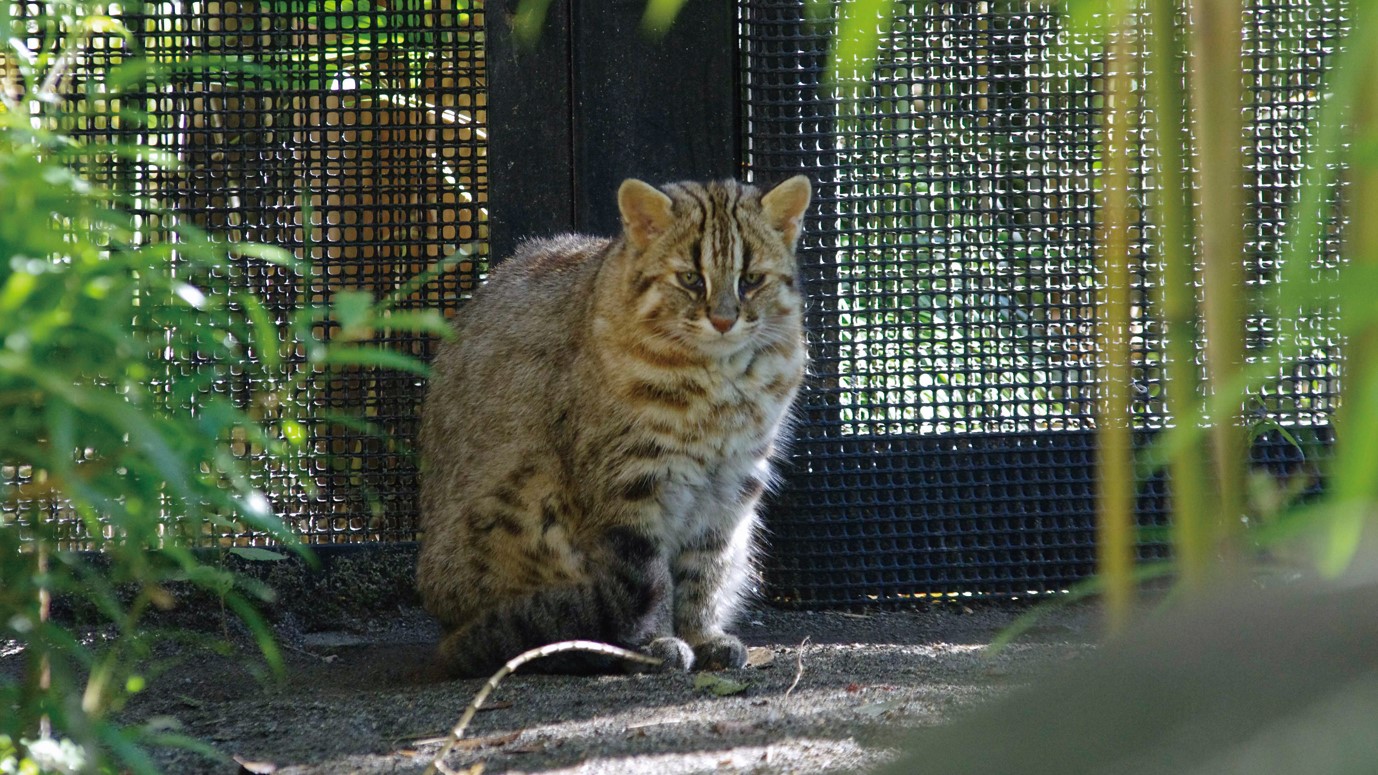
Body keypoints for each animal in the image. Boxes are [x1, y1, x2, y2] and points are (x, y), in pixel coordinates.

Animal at [413, 175, 810, 675]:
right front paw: (654, 644)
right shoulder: (631, 487)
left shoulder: (731, 485)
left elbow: (704, 572)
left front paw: (702, 636)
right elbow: (652, 578)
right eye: (690, 278)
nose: (724, 319)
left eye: (751, 279)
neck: (718, 388)